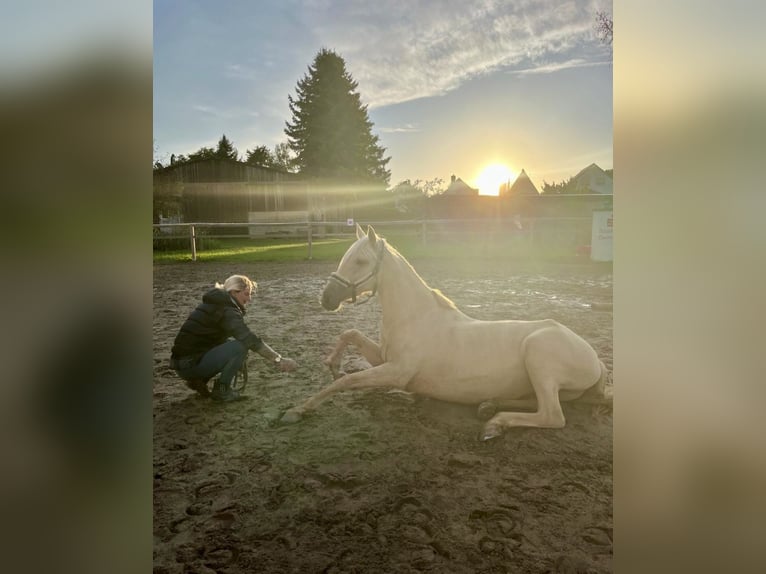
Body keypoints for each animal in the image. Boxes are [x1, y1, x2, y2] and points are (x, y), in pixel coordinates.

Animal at [282, 225, 612, 440]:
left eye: (361, 261)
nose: (326, 299)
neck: (415, 316)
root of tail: (596, 359)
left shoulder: (397, 373)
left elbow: (346, 382)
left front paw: (297, 410)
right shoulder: (383, 359)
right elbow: (349, 334)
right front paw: (332, 363)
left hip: (538, 355)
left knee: (552, 415)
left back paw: (495, 424)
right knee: (536, 402)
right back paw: (488, 406)